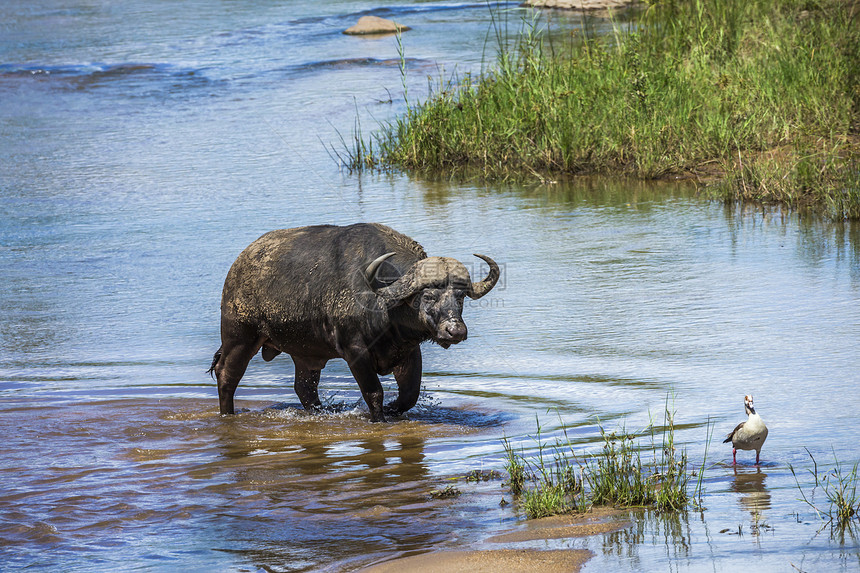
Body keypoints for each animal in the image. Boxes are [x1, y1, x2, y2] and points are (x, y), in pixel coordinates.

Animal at [209, 223, 500, 420]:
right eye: (428, 296)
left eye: (460, 297)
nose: (455, 331)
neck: (383, 306)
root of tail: (239, 264)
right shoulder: (355, 352)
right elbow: (374, 393)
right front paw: (380, 417)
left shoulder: (408, 350)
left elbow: (409, 394)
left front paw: (394, 409)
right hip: (240, 336)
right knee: (227, 375)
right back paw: (227, 413)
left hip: (305, 354)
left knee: (305, 389)